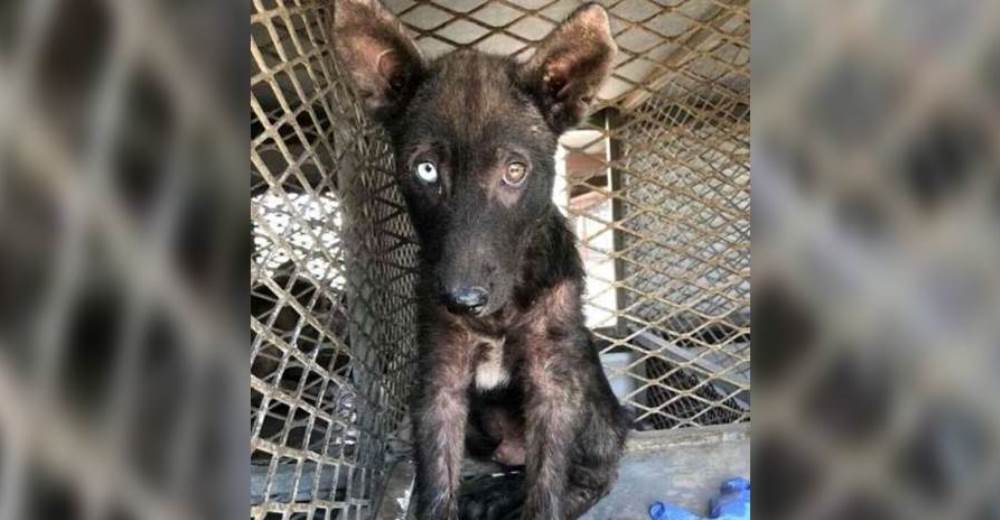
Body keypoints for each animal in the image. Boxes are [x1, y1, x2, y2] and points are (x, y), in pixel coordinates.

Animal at [332, 2, 628, 516]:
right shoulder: (439, 379)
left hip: (590, 399)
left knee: (593, 471)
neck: (500, 312)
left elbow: (546, 486)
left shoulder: (553, 381)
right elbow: (436, 480)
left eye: (515, 171)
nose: (462, 299)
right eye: (426, 169)